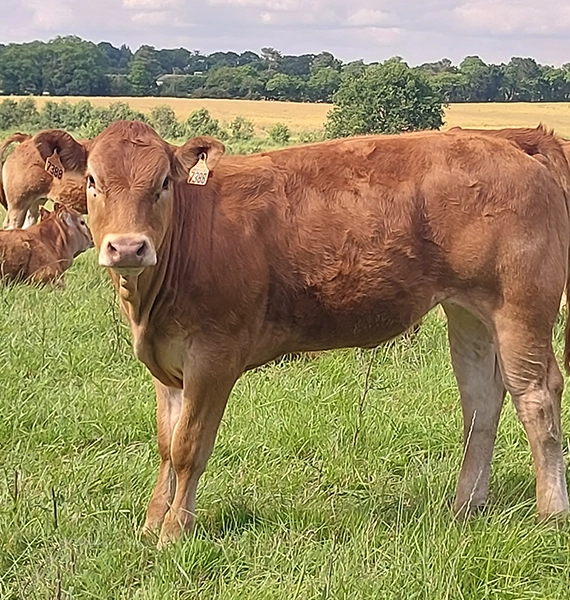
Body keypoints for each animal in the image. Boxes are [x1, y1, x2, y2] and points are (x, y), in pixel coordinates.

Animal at [33, 123, 568, 548]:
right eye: (94, 182)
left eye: (163, 182)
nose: (128, 247)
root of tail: (505, 139)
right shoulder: (167, 364)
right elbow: (167, 445)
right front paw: (149, 526)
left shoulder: (213, 357)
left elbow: (189, 448)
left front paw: (173, 534)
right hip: (469, 310)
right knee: (482, 399)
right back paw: (465, 507)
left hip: (521, 305)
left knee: (536, 396)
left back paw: (551, 512)